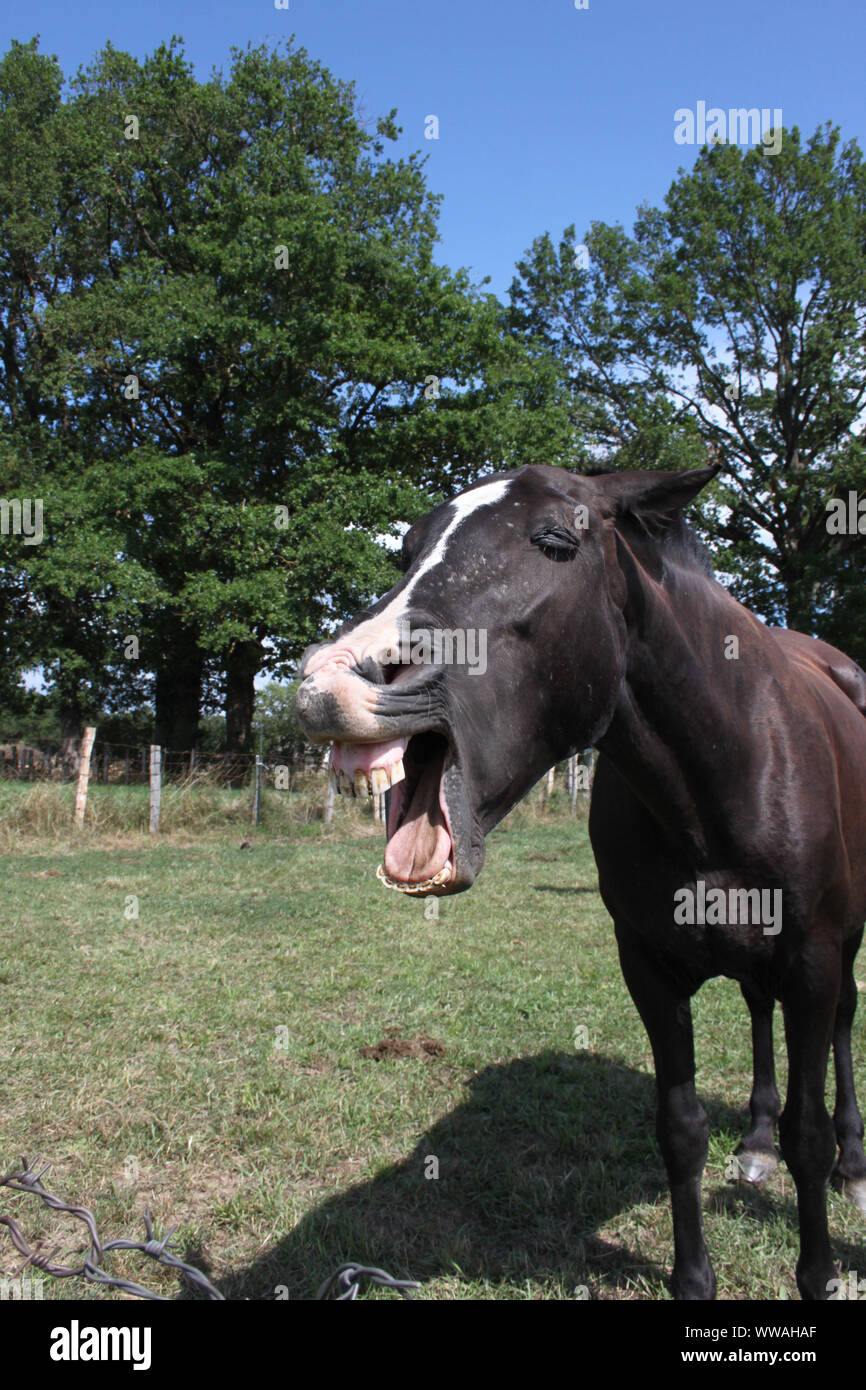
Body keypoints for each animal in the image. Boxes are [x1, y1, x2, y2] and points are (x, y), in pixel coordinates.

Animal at [295, 462, 866, 1299]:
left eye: (557, 541)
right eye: (406, 549)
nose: (327, 683)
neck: (726, 773)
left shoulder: (814, 963)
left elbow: (810, 1134)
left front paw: (820, 1269)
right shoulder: (649, 971)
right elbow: (681, 1130)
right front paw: (694, 1279)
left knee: (846, 1023)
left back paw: (854, 1163)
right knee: (758, 1013)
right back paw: (755, 1142)